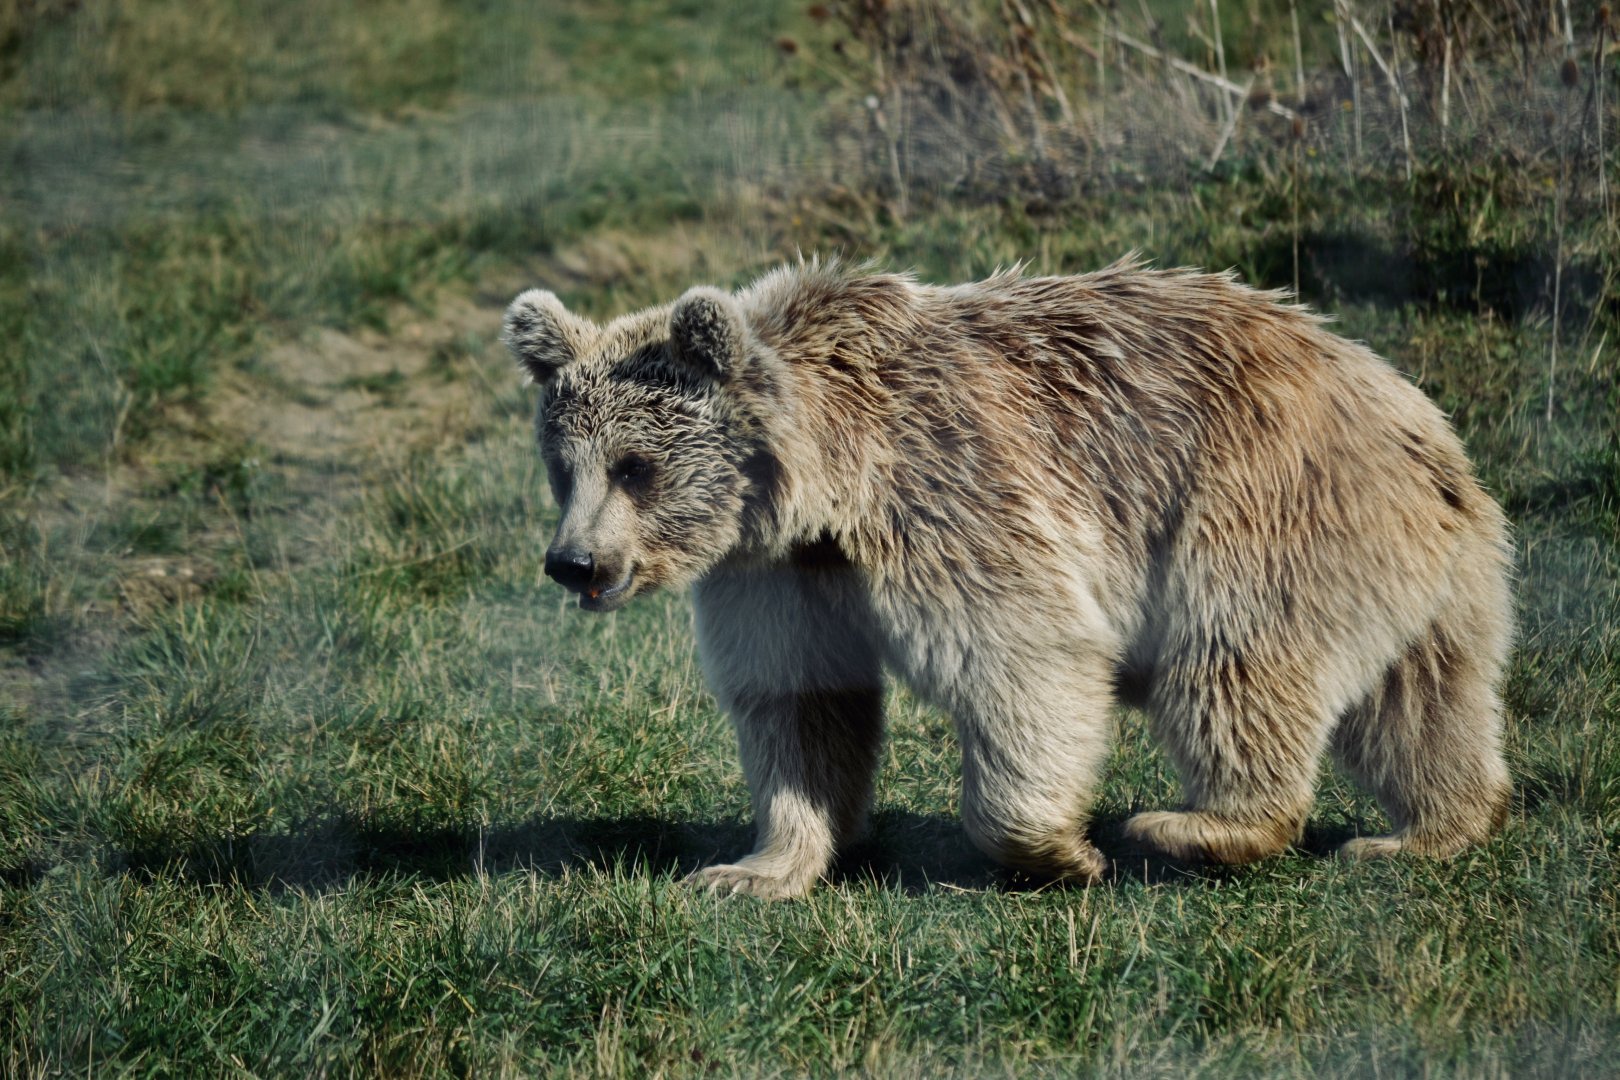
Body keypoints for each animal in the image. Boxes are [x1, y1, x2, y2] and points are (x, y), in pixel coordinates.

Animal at [503, 257, 1513, 899]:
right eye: (562, 464)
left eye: (635, 465)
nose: (575, 561)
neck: (826, 480)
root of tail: (1416, 418)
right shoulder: (783, 570)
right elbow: (799, 706)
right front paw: (754, 868)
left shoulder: (948, 488)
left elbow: (1021, 655)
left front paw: (1059, 851)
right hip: (1420, 567)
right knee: (1425, 701)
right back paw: (1425, 830)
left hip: (1261, 505)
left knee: (1233, 663)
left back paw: (1199, 825)